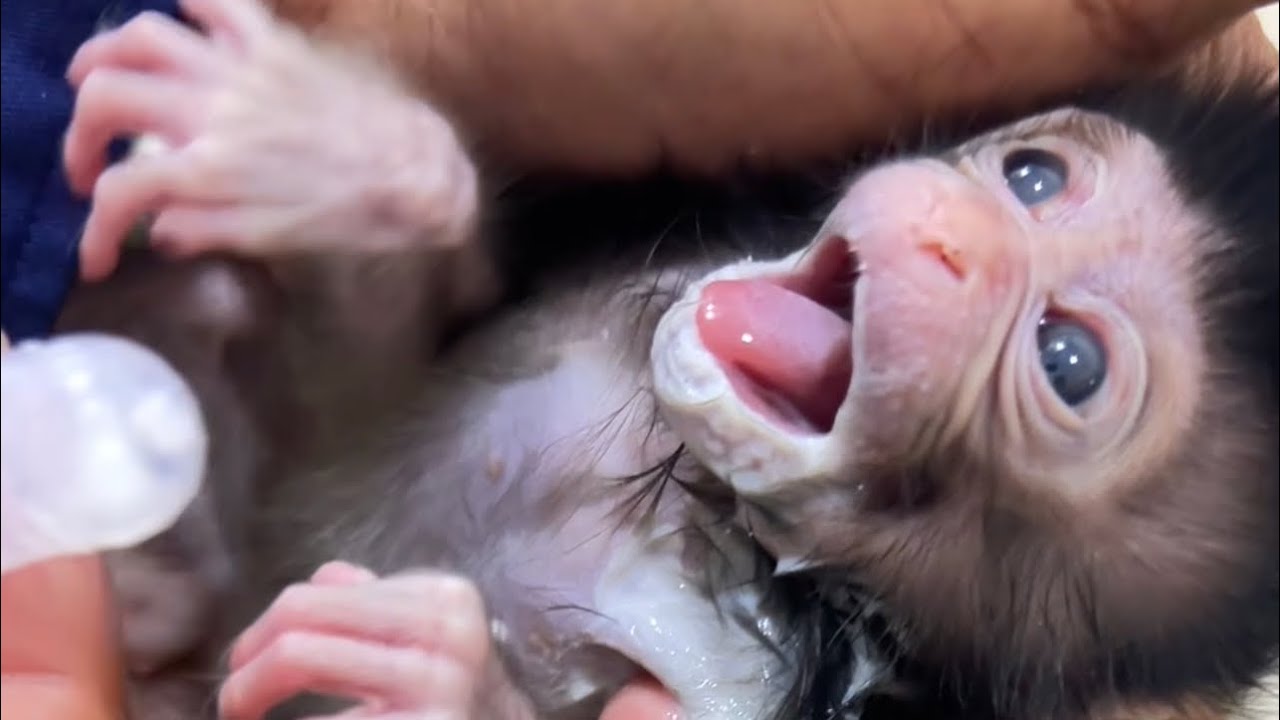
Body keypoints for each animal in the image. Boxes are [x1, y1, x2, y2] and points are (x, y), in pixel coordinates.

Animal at [49, 0, 1278, 718]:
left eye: (1068, 362)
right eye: (1033, 178)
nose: (952, 240)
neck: (691, 498)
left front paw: (442, 678)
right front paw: (330, 156)